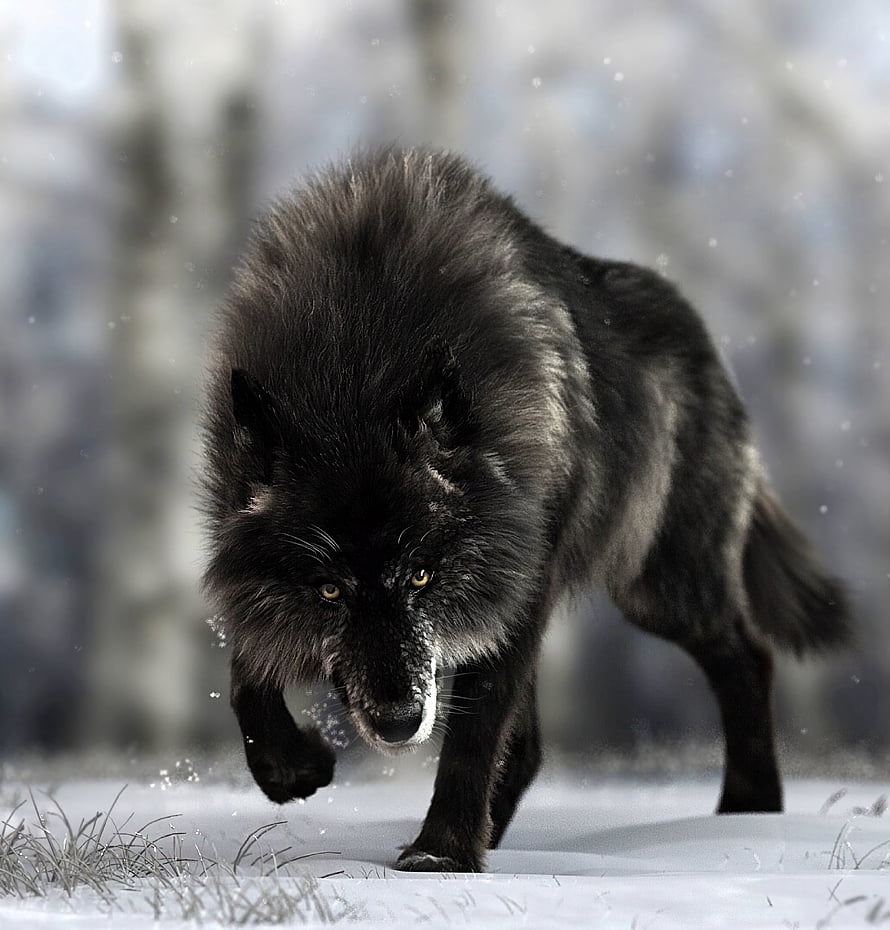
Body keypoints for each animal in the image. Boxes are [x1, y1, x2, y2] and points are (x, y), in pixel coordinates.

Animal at [201, 147, 849, 872]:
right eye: (330, 589)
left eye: (421, 575)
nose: (398, 724)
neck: (356, 357)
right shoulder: (249, 566)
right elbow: (247, 670)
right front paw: (293, 766)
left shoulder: (517, 586)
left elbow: (474, 735)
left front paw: (440, 858)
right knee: (535, 746)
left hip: (658, 588)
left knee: (748, 657)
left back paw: (747, 816)